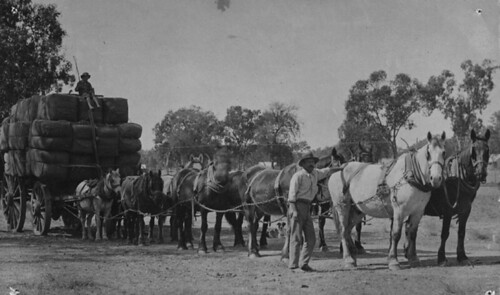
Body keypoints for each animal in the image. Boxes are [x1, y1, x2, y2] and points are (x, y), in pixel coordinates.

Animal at [328, 133, 446, 272]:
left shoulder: (418, 212)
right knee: (342, 229)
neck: (410, 176)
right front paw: (394, 261)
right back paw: (348, 259)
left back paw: (353, 255)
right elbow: (396, 234)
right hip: (343, 206)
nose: (436, 178)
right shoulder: (399, 210)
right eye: (428, 153)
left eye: (444, 152)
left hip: (357, 210)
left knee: (347, 229)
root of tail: (339, 168)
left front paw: (413, 258)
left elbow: (412, 234)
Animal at [424, 129, 490, 266]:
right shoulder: (448, 211)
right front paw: (441, 258)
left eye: (487, 150)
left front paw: (462, 256)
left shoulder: (465, 211)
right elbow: (445, 233)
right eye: (473, 150)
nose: (481, 173)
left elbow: (461, 232)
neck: (456, 179)